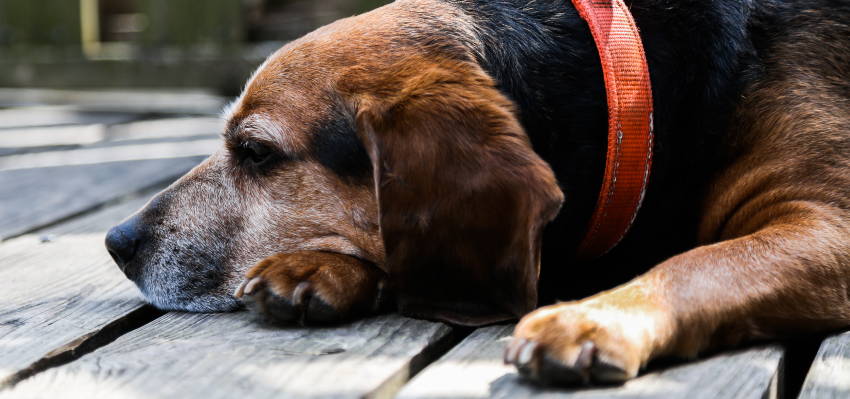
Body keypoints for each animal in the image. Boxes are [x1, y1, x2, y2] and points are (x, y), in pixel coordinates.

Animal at [106, 0, 848, 388]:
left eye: (257, 152)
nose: (117, 242)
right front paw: (317, 268)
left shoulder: (828, 224)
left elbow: (700, 262)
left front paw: (594, 318)